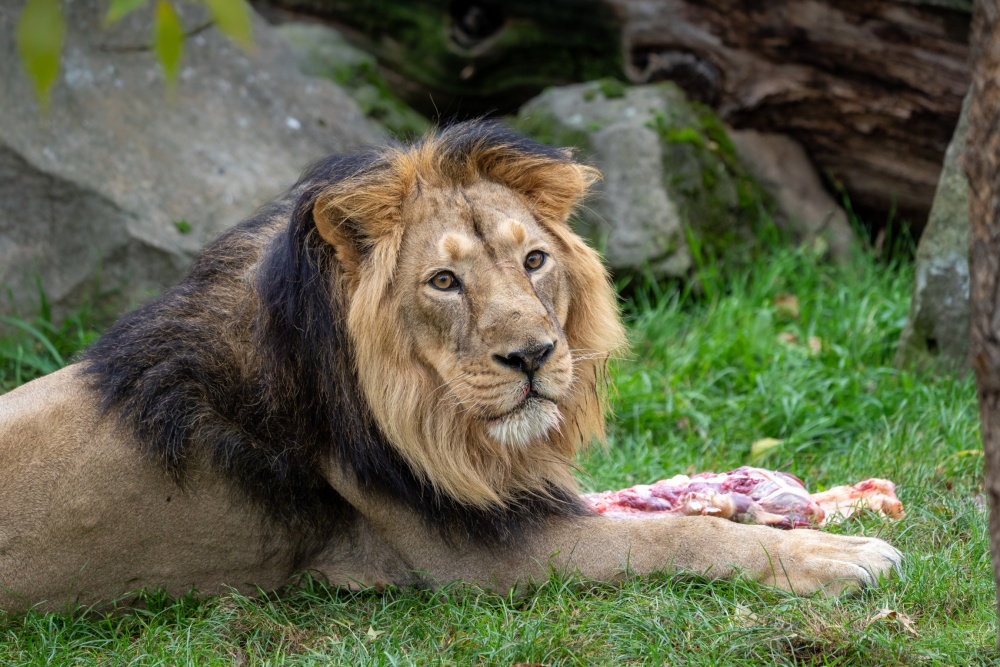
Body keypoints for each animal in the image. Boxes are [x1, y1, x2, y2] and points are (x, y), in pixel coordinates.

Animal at [0, 120, 900, 612]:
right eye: (443, 280)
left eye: (534, 260)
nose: (534, 355)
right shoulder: (471, 558)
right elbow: (671, 535)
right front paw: (838, 556)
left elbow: (648, 504)